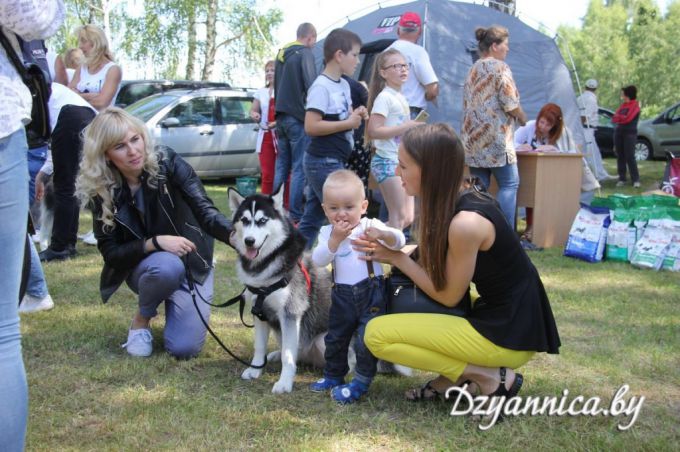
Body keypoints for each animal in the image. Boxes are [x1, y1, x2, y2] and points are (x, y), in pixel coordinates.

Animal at [228, 186, 334, 392]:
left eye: (262, 221)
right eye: (244, 220)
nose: (249, 241)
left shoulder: (290, 313)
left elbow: (288, 355)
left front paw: (284, 383)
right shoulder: (259, 311)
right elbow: (260, 346)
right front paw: (255, 369)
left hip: (321, 340)